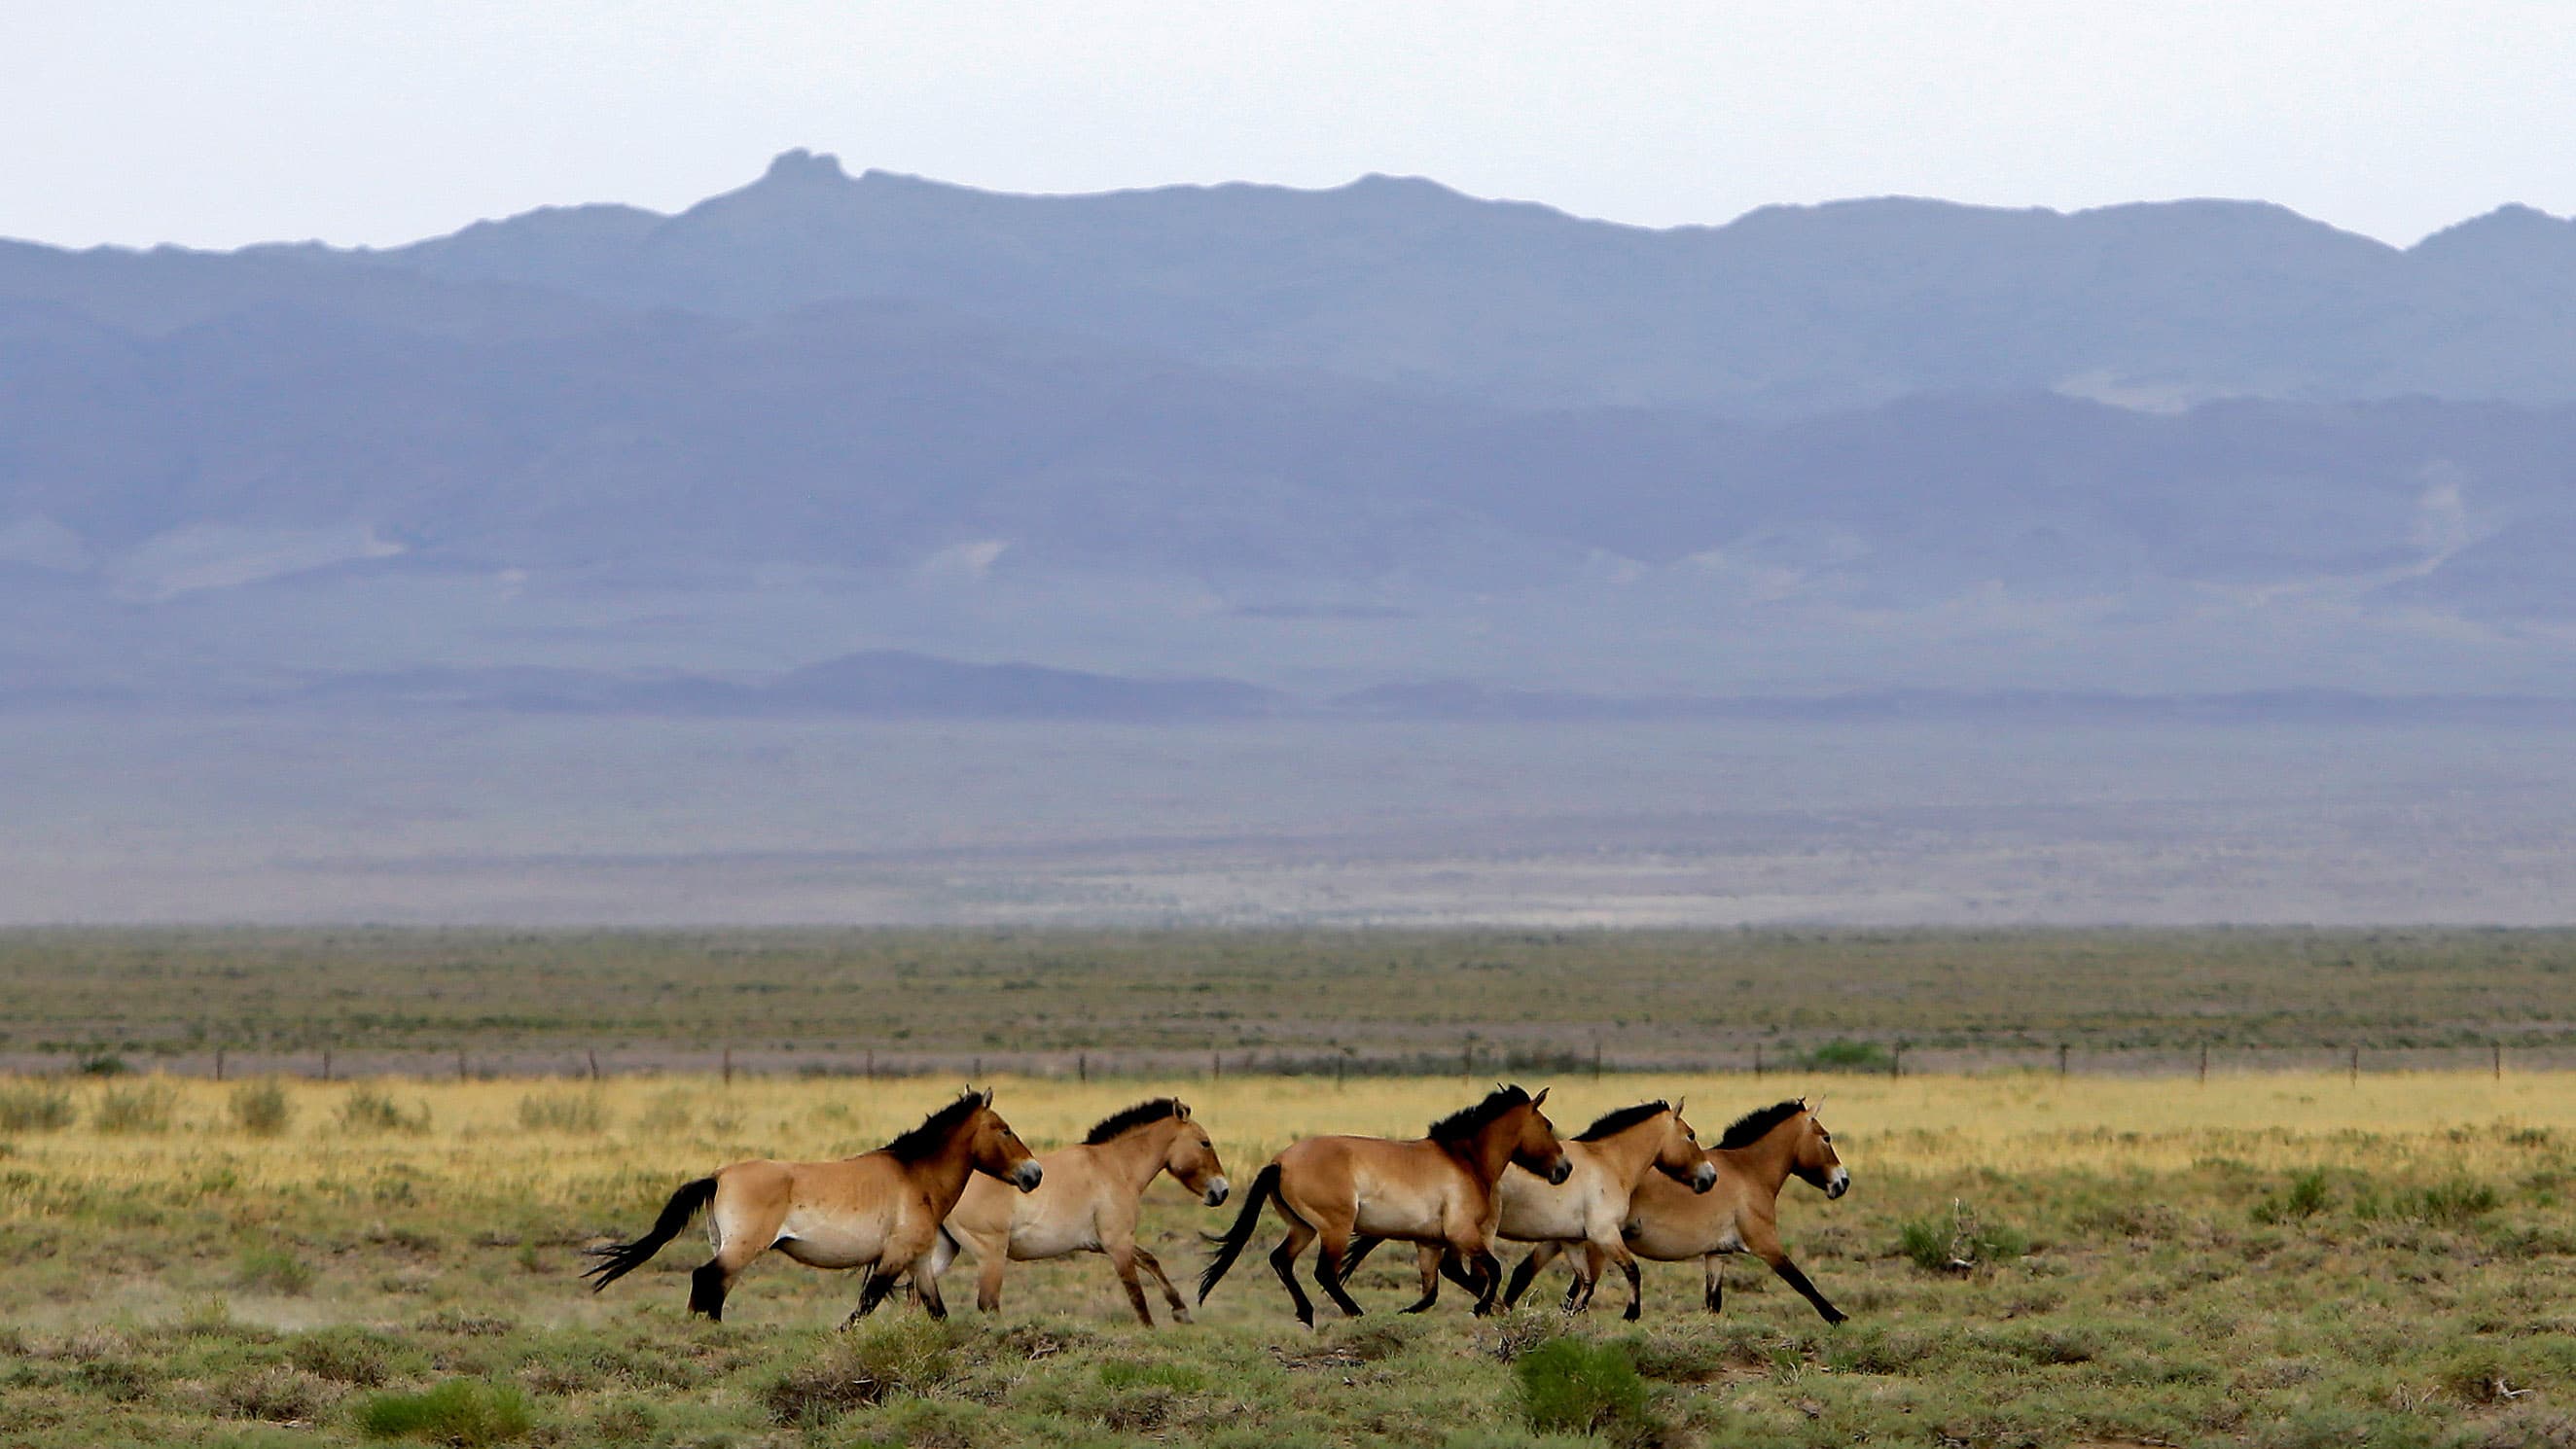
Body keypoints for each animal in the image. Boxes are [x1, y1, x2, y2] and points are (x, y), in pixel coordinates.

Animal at [581, 1088, 1041, 1323]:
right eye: (1004, 1129)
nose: (1033, 1174)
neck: (915, 1175)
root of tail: (719, 1175)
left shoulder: (919, 1260)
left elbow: (936, 1310)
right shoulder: (893, 1256)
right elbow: (866, 1304)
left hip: (728, 1247)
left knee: (712, 1288)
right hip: (741, 1249)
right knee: (706, 1280)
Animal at [914, 1096, 1230, 1326]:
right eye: (1205, 1142)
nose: (1222, 1191)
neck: (1114, 1167)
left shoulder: (1105, 1243)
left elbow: (1151, 1261)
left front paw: (1181, 1311)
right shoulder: (1117, 1243)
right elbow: (1136, 1294)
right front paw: (1152, 1330)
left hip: (943, 1252)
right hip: (991, 1255)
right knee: (987, 1303)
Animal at [1198, 1084, 1570, 1326]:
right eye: (1548, 1124)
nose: (1564, 1169)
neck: (1464, 1160)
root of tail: (1280, 1162)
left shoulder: (1431, 1242)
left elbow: (1435, 1289)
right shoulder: (1461, 1232)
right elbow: (1491, 1270)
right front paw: (1483, 1309)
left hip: (1302, 1227)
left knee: (1281, 1260)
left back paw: (1307, 1314)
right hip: (1335, 1228)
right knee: (1324, 1272)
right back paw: (1356, 1313)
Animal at [1337, 1098, 1719, 1321]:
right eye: (1691, 1134)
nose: (1709, 1177)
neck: (1609, 1162)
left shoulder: (1567, 1238)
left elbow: (1576, 1280)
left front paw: (1571, 1312)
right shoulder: (1603, 1233)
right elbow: (1630, 1271)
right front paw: (1631, 1313)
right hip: (1478, 1229)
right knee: (1465, 1270)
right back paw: (1487, 1306)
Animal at [1514, 1096, 1850, 1323]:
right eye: (1826, 1137)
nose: (1843, 1181)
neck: (1748, 1171)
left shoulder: (1716, 1255)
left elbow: (1713, 1302)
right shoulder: (1767, 1245)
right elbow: (1802, 1282)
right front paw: (1837, 1316)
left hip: (1561, 1236)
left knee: (1526, 1273)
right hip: (1598, 1245)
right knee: (1579, 1291)